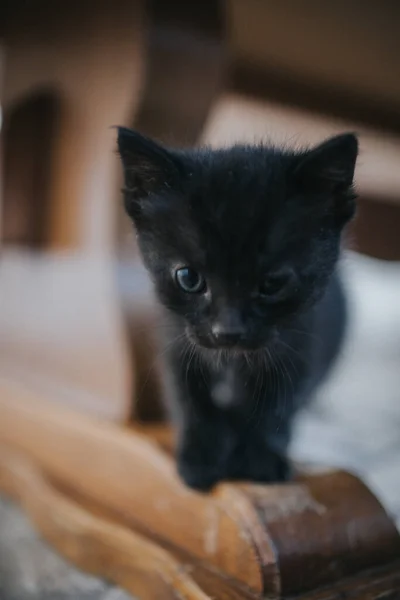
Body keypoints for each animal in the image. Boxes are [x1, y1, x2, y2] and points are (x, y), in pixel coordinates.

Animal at [117, 129, 358, 490]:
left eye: (272, 283)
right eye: (188, 278)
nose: (227, 331)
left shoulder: (299, 347)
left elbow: (276, 407)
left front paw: (258, 461)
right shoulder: (176, 341)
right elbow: (190, 400)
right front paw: (200, 460)